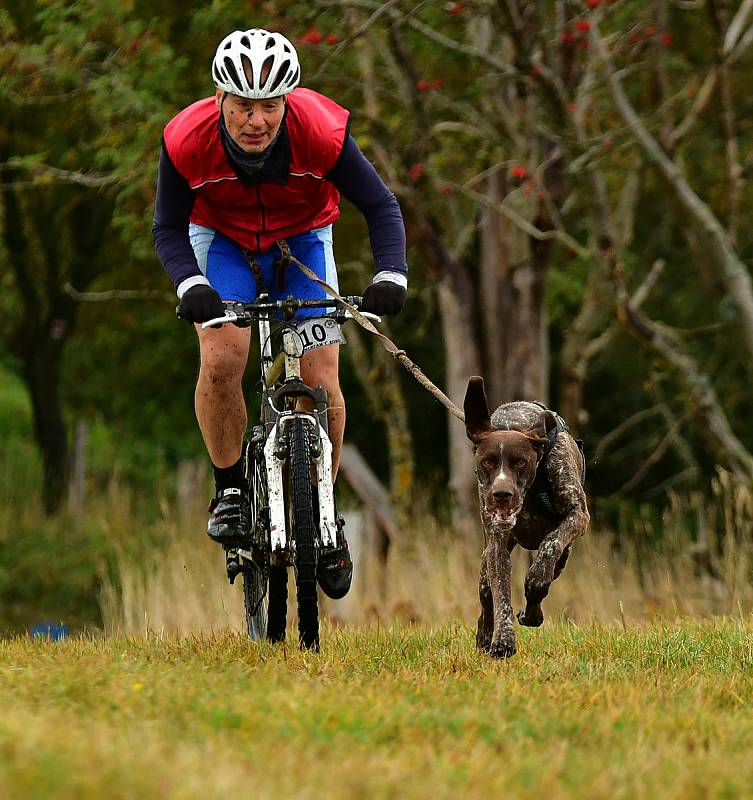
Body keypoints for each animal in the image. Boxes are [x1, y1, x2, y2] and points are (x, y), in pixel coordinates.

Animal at [464, 378, 588, 660]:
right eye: (487, 462)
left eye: (520, 462)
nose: (501, 495)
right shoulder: (496, 544)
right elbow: (501, 595)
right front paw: (503, 640)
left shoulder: (578, 514)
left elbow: (546, 557)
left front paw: (533, 592)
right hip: (485, 565)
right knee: (486, 596)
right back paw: (484, 636)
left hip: (565, 555)